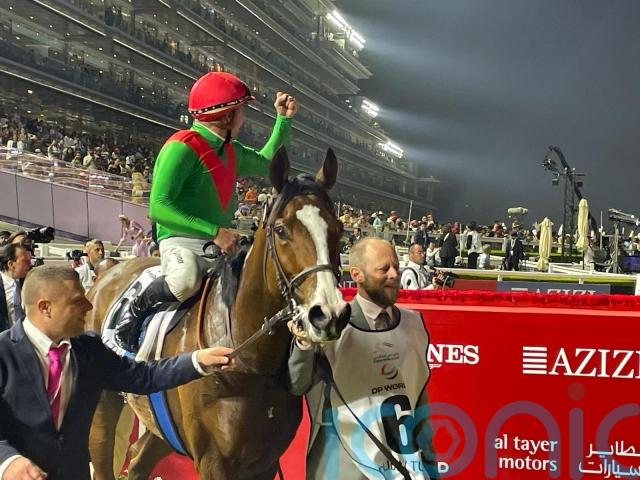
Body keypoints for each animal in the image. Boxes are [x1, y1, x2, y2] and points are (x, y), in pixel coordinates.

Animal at [86, 147, 351, 480]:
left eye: (339, 230)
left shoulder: (265, 462)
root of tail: (107, 272)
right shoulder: (214, 462)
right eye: (281, 230)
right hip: (104, 402)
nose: (328, 314)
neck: (247, 357)